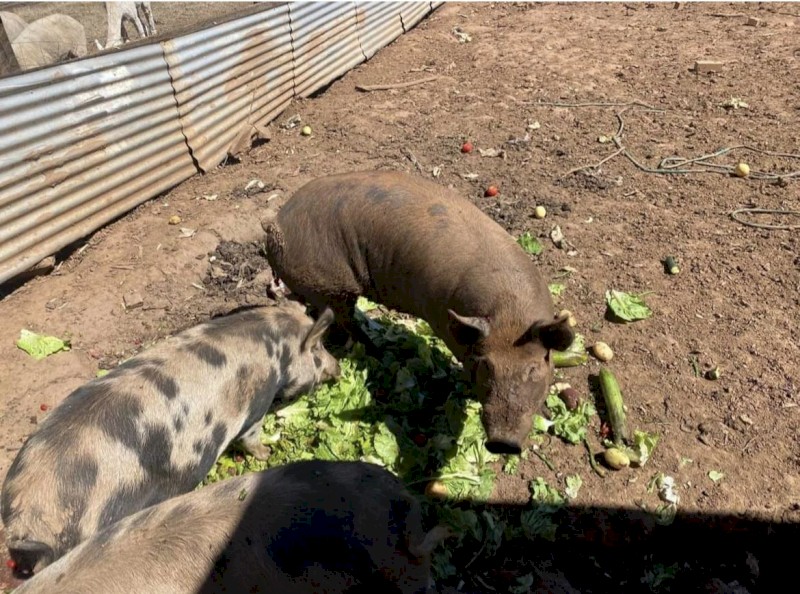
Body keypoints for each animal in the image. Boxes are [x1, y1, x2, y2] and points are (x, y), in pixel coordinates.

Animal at [1, 302, 340, 577]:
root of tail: (22, 518)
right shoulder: (255, 406)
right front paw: (267, 453)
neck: (276, 347)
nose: (337, 368)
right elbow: (251, 436)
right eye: (318, 349)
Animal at [262, 171, 575, 456]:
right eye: (486, 365)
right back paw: (378, 351)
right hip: (332, 286)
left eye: (534, 367)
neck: (509, 312)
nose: (502, 443)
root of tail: (276, 224)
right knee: (346, 320)